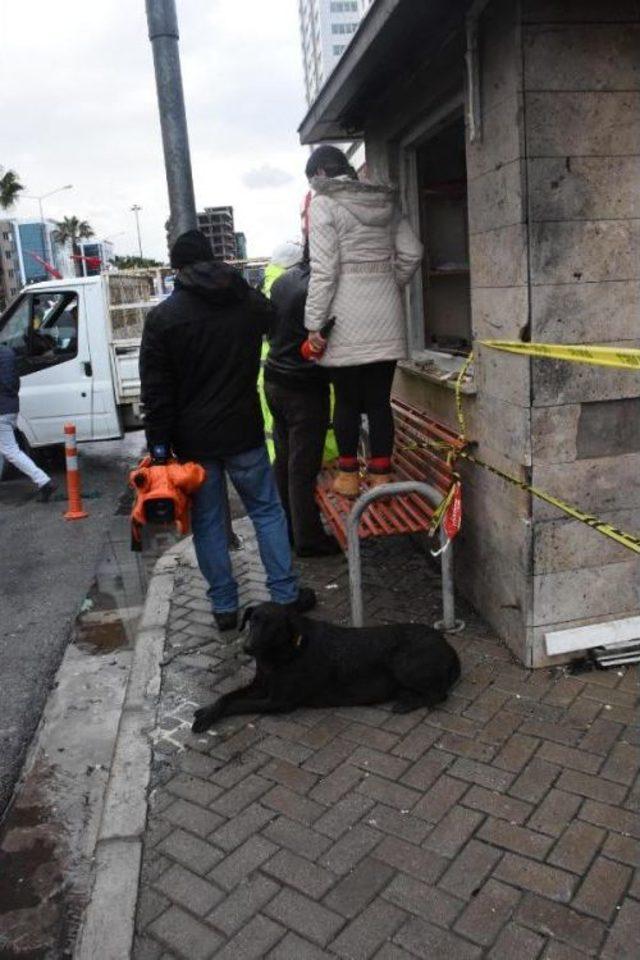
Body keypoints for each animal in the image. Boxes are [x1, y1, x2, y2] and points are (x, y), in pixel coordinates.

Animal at [190, 608, 460, 736]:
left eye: (272, 626)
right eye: (252, 621)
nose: (247, 647)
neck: (283, 653)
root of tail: (448, 645)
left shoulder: (278, 701)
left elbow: (237, 705)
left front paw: (205, 718)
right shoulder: (259, 685)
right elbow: (226, 698)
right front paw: (207, 711)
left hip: (403, 663)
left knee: (439, 694)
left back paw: (407, 702)